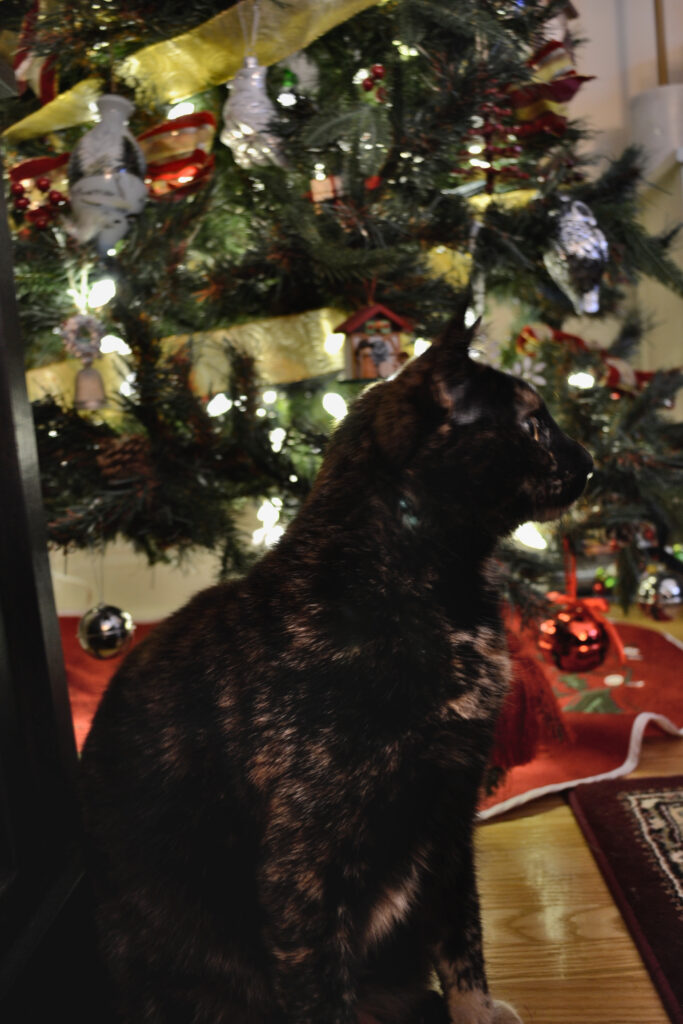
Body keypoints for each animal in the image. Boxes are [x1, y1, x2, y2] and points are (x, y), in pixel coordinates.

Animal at [78, 315, 593, 1019]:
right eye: (536, 426)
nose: (590, 461)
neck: (444, 599)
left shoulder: (451, 811)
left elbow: (462, 934)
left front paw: (477, 1012)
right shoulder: (305, 860)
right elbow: (324, 991)